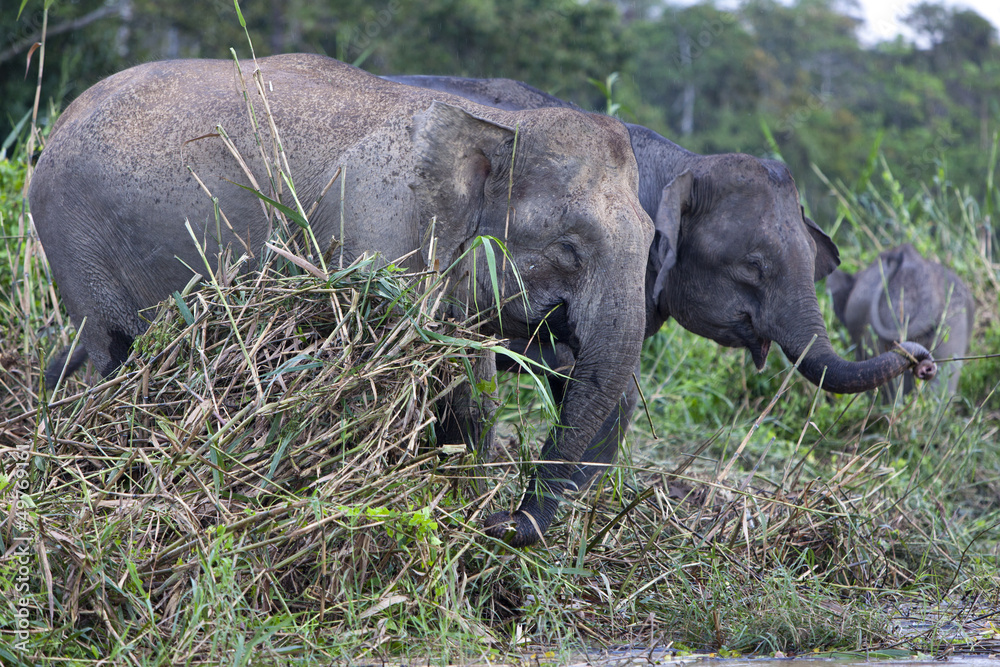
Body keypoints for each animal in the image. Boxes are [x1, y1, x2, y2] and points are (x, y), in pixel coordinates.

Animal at [29, 54, 655, 548]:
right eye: (570, 249)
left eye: (654, 239)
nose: (504, 520)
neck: (493, 128)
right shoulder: (379, 230)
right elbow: (413, 378)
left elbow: (468, 389)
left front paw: (464, 506)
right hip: (76, 241)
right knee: (112, 353)